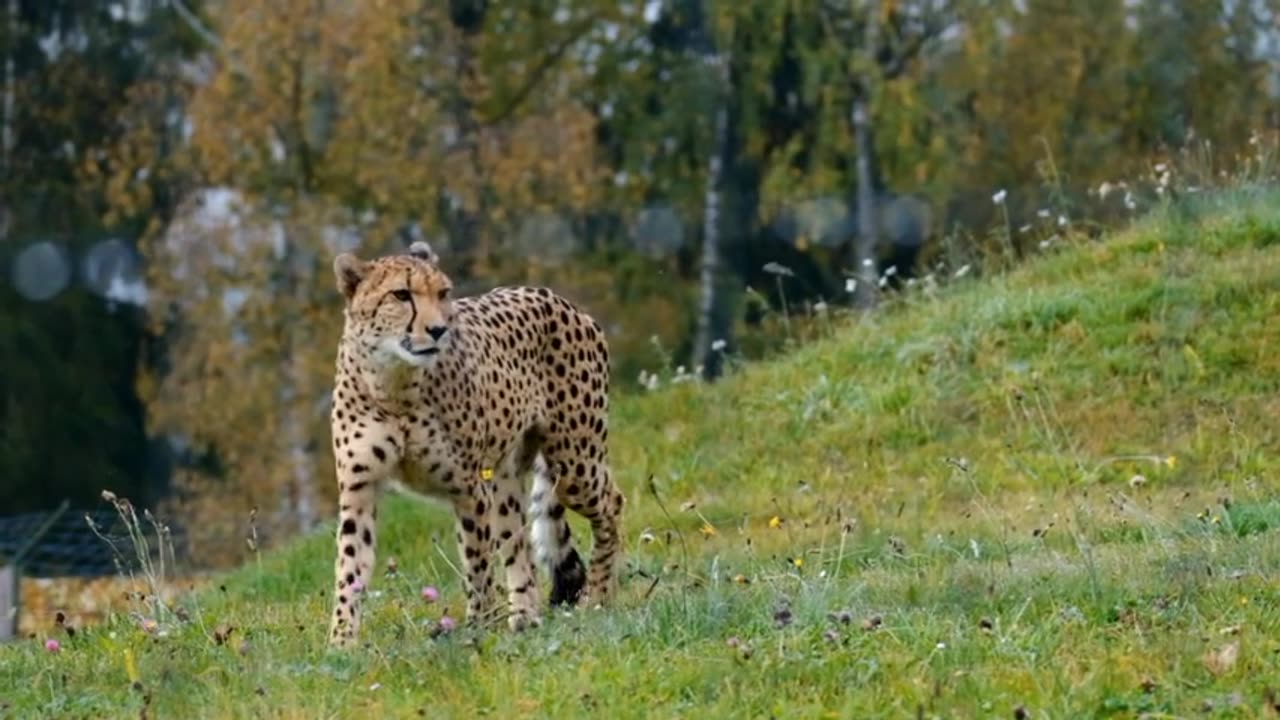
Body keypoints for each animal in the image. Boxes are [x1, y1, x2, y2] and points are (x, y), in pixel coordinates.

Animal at [325, 239, 624, 645]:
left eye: (443, 293)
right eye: (401, 295)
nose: (438, 330)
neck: (393, 385)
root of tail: (559, 298)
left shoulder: (468, 488)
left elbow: (477, 564)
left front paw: (478, 630)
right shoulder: (360, 488)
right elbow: (351, 569)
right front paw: (341, 642)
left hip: (574, 463)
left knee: (612, 503)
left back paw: (598, 596)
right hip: (504, 481)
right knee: (519, 546)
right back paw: (524, 618)